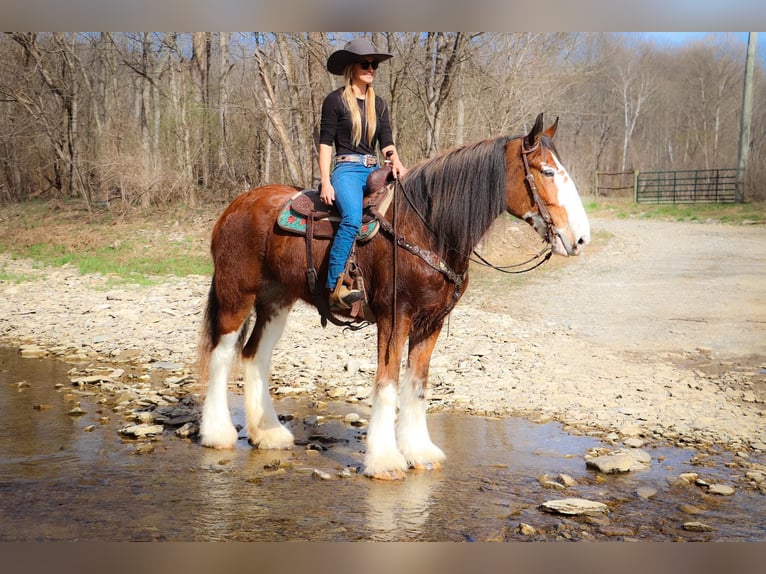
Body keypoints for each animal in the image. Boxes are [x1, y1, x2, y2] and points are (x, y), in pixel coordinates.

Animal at [200, 113, 592, 482]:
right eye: (546, 171)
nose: (581, 239)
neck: (426, 228)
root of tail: (236, 206)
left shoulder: (431, 322)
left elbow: (417, 385)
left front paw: (419, 451)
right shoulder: (394, 317)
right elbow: (387, 384)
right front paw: (385, 460)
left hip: (276, 300)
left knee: (255, 356)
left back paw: (268, 433)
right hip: (237, 295)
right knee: (222, 355)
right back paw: (217, 433)